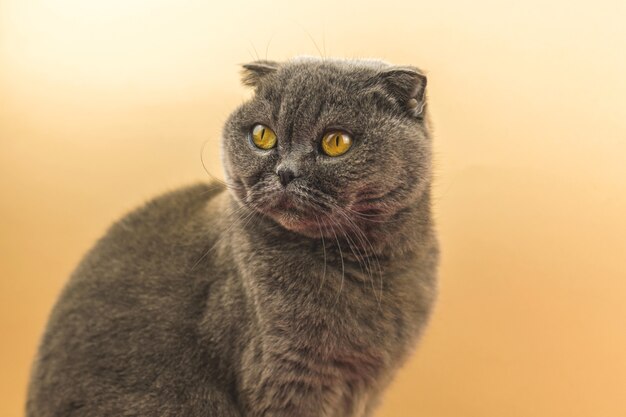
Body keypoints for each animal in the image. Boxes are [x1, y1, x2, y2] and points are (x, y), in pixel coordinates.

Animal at [26, 56, 436, 416]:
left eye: (336, 141)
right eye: (262, 135)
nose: (285, 172)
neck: (364, 268)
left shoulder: (368, 387)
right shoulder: (286, 377)